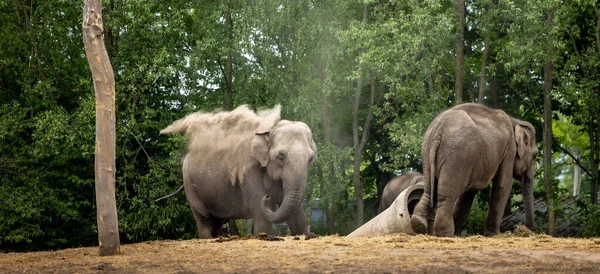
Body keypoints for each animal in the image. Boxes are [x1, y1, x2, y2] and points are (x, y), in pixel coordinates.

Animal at [157, 105, 318, 238]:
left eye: (311, 159)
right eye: (280, 156)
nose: (267, 198)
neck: (269, 130)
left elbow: (297, 215)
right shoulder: (248, 173)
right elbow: (262, 217)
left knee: (217, 221)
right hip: (190, 185)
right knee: (204, 220)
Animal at [410, 104, 536, 237]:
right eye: (535, 155)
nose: (523, 229)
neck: (515, 121)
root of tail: (437, 132)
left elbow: (469, 193)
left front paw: (457, 233)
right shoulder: (509, 149)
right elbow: (503, 185)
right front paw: (495, 235)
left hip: (427, 152)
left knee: (429, 189)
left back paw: (419, 224)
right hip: (458, 155)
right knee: (447, 194)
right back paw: (445, 233)